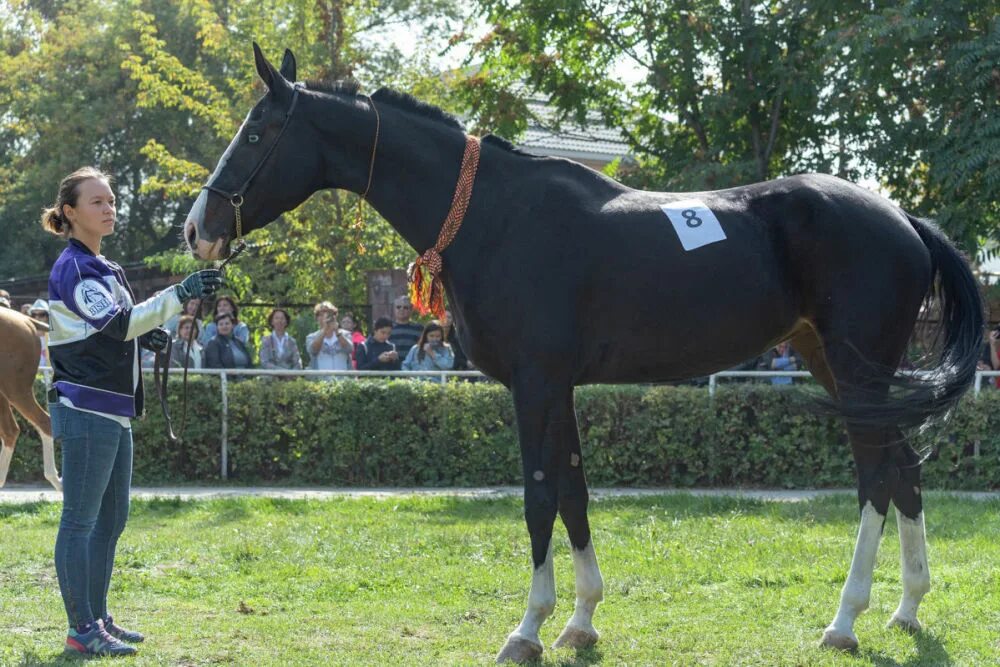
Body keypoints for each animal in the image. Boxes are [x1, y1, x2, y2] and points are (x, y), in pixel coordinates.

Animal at [184, 45, 980, 664]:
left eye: (257, 132)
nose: (198, 227)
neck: (494, 216)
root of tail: (902, 216)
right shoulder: (557, 386)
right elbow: (573, 491)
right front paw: (581, 620)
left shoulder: (534, 383)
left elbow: (540, 495)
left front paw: (526, 629)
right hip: (836, 363)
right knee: (905, 470)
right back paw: (907, 608)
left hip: (856, 366)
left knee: (876, 477)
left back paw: (845, 620)